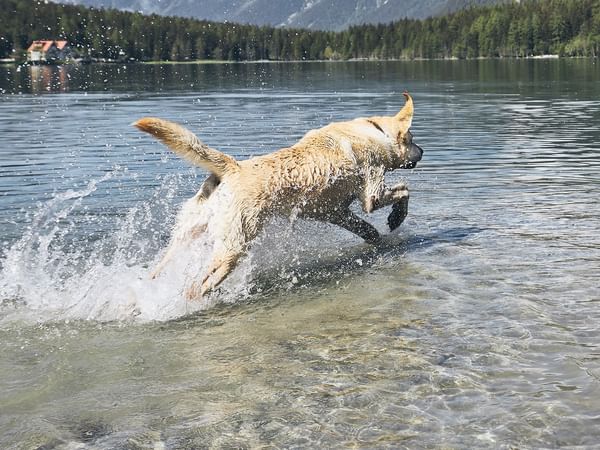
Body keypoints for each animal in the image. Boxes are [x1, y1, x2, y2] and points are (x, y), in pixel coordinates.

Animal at [132, 91, 422, 298]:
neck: (375, 132)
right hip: (233, 246)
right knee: (197, 286)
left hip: (186, 234)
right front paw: (396, 218)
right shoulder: (372, 193)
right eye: (411, 139)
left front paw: (377, 239)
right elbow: (403, 191)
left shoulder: (335, 212)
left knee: (158, 270)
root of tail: (232, 168)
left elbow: (365, 228)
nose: (423, 151)